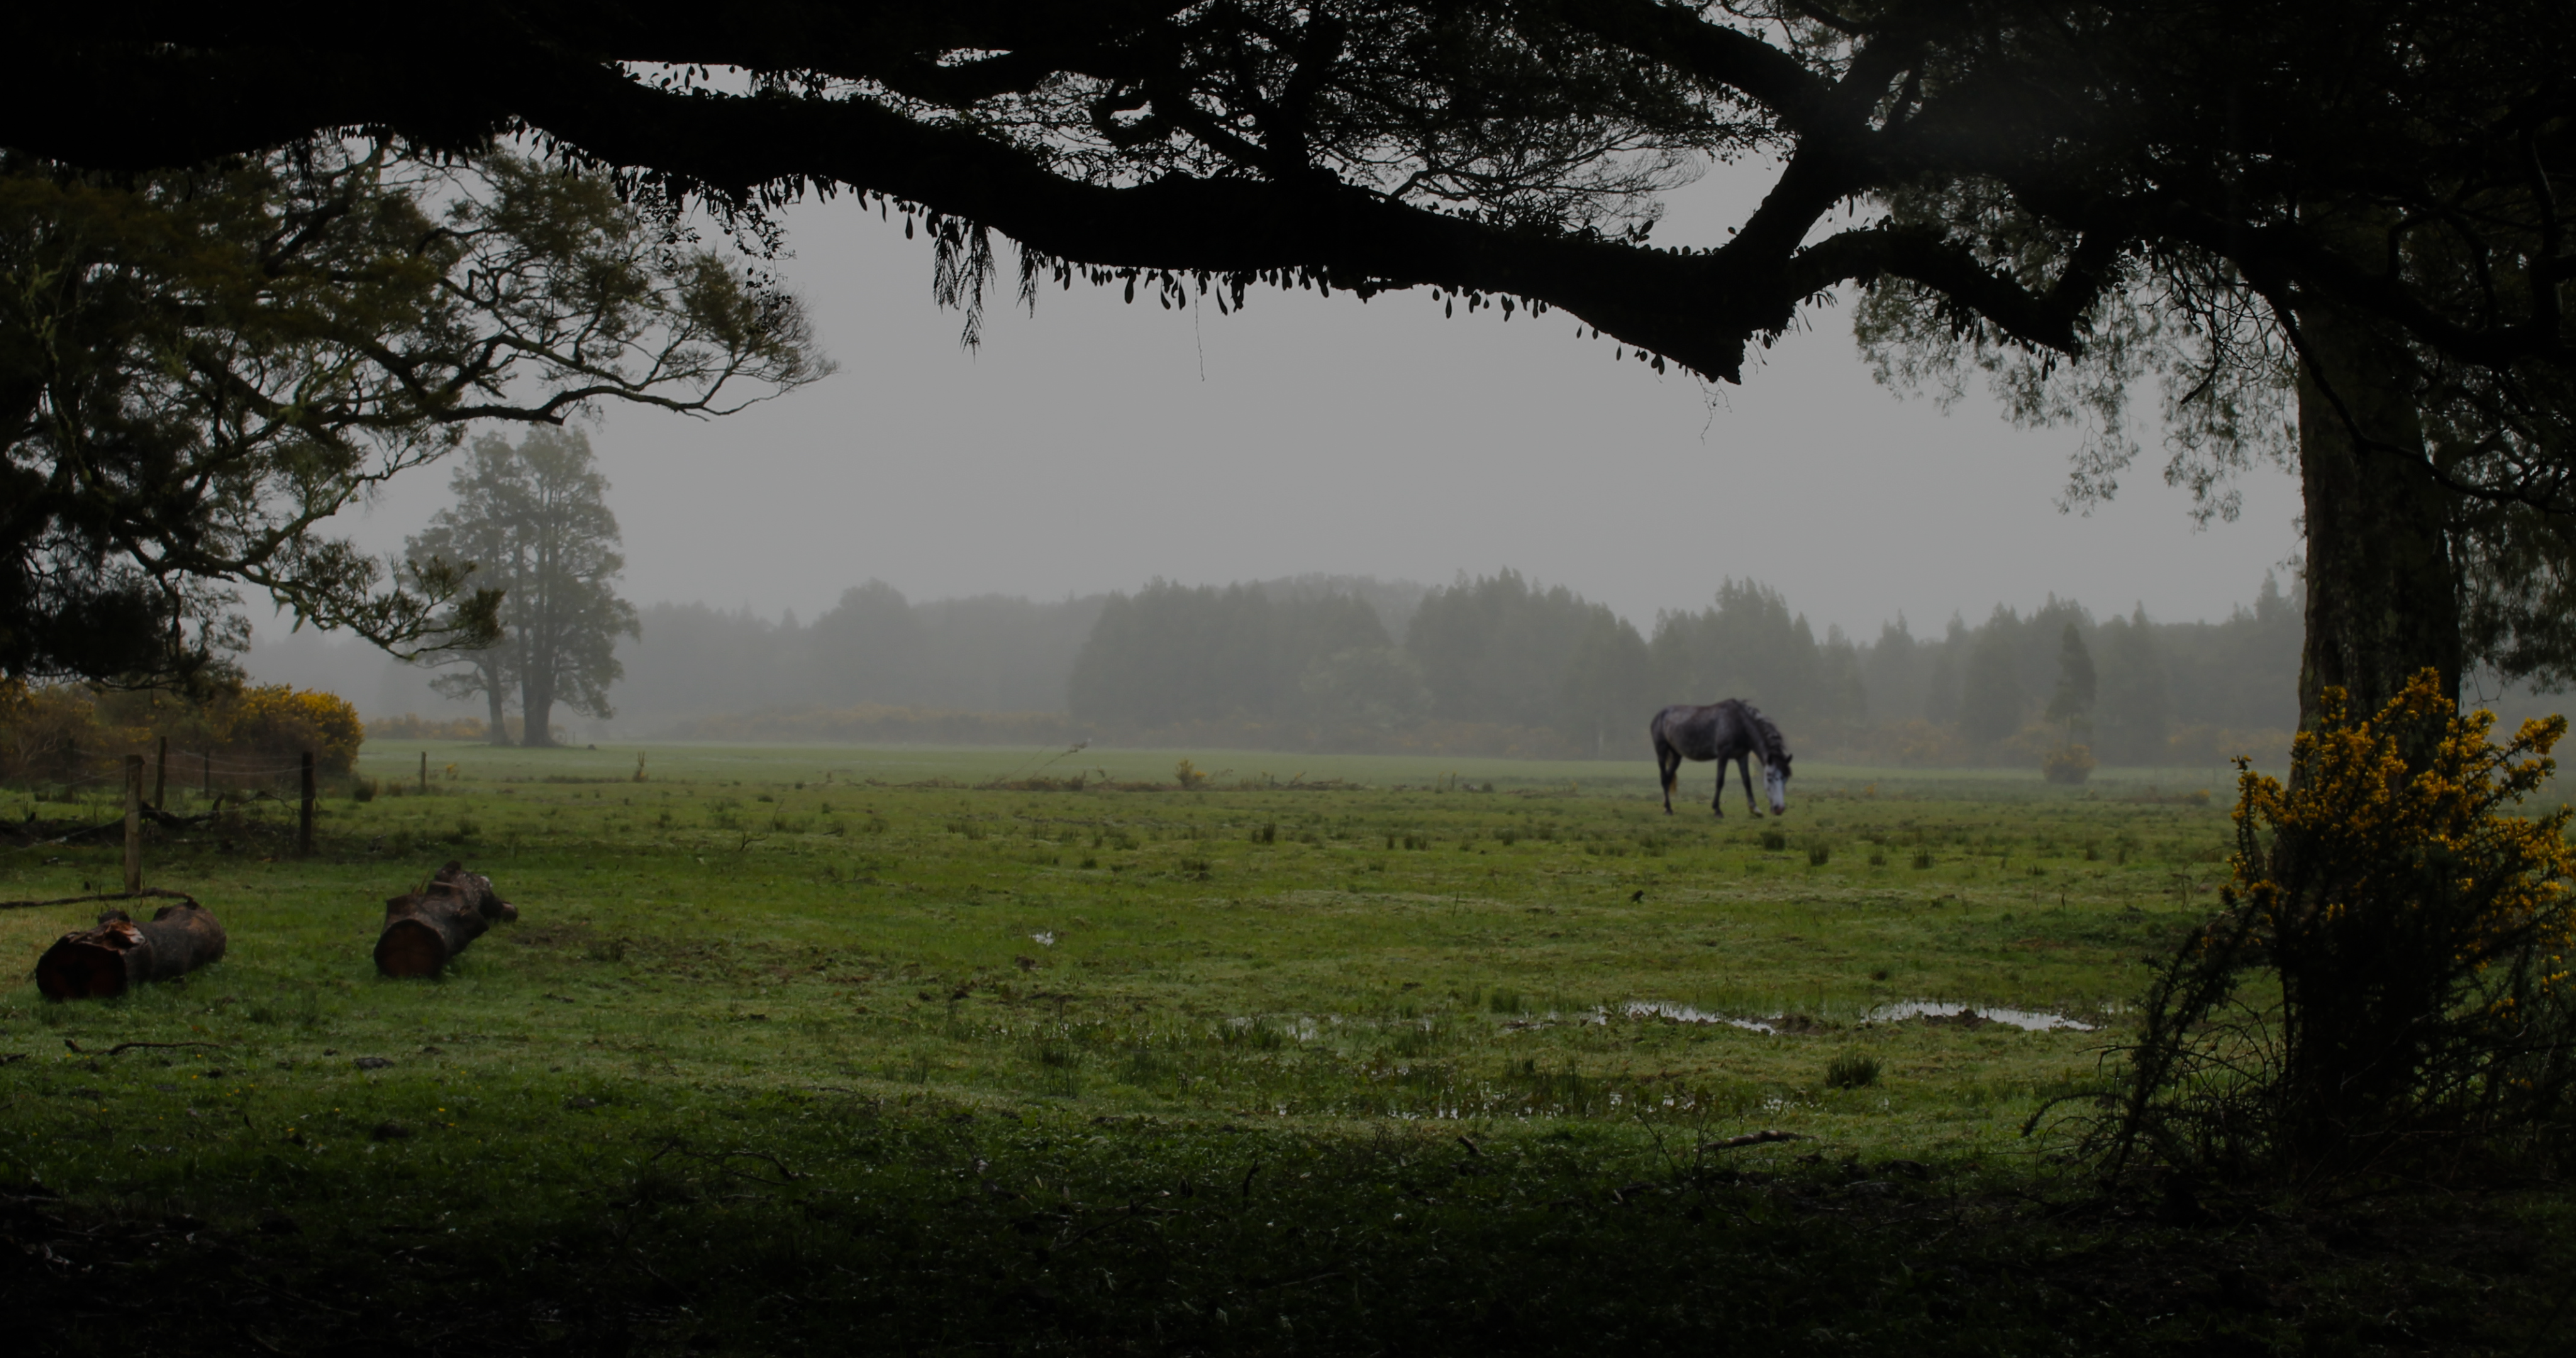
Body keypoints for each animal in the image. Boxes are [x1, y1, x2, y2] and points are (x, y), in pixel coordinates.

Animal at [1648, 700, 1792, 819]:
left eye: (1786, 779)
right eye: (1769, 778)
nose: (1779, 809)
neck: (1739, 723)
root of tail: (1659, 715)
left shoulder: (1742, 756)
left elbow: (1747, 782)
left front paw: (1755, 809)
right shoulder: (1724, 753)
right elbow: (1720, 781)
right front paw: (1717, 810)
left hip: (1676, 756)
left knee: (1668, 778)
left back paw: (1666, 806)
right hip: (1661, 750)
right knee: (1663, 778)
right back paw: (1668, 809)